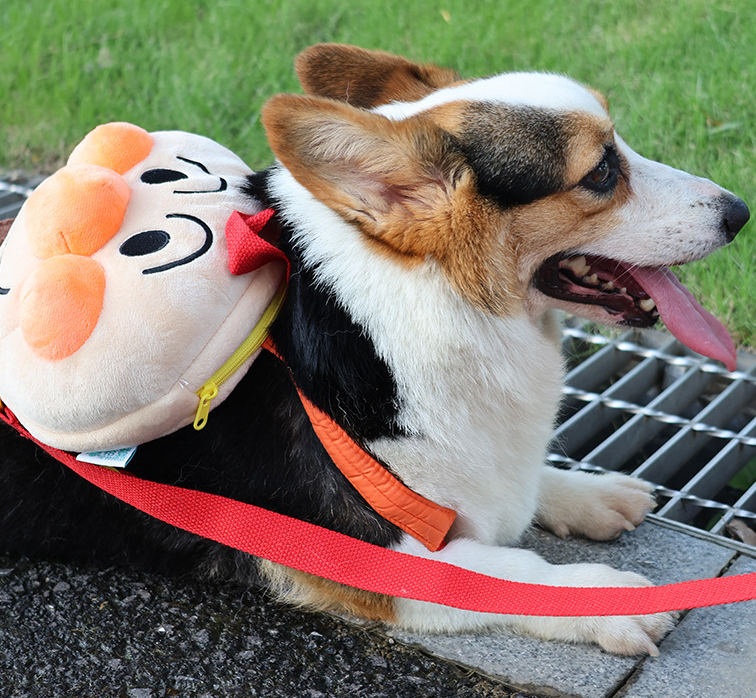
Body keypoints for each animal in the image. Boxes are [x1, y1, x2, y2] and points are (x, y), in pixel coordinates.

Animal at [0, 46, 748, 656]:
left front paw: (590, 496)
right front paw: (610, 601)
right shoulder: (368, 556)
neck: (442, 302)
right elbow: (513, 574)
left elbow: (529, 485)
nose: (739, 212)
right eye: (600, 173)